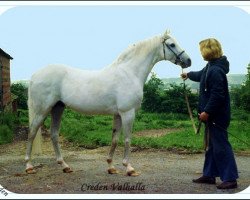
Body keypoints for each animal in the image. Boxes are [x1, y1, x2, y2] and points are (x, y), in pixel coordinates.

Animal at [25, 30, 191, 176]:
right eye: (172, 44)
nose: (188, 61)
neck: (129, 72)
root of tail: (35, 75)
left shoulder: (118, 114)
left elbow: (115, 140)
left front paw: (111, 167)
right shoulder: (128, 113)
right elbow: (127, 139)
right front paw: (129, 168)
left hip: (57, 108)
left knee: (54, 134)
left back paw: (65, 166)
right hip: (42, 109)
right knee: (32, 132)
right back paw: (29, 166)